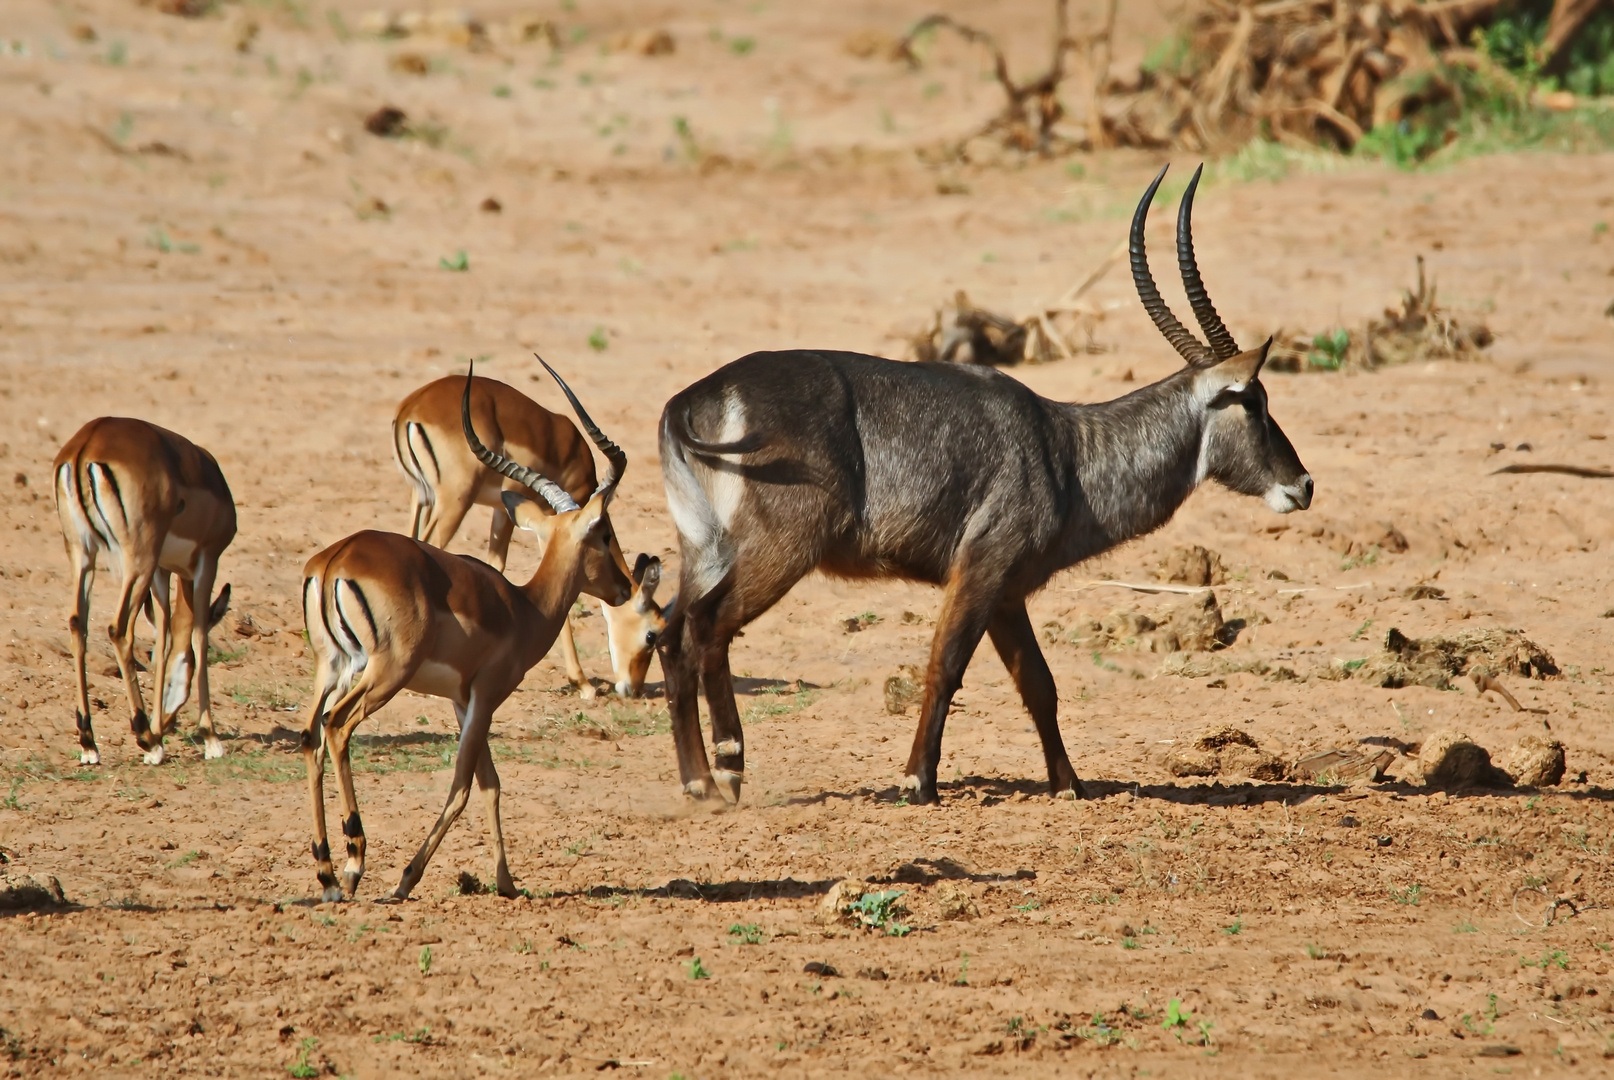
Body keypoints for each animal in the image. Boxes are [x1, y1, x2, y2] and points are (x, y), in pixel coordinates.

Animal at [52, 416, 235, 761]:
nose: (170, 723)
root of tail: (89, 439)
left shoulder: (163, 571)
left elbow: (163, 639)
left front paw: (160, 734)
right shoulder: (207, 562)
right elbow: (199, 637)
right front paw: (210, 738)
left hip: (82, 554)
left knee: (77, 624)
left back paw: (90, 743)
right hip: (138, 558)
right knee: (118, 628)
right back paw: (144, 736)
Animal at [300, 360, 632, 904]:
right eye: (605, 534)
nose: (625, 586)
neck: (524, 609)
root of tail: (337, 560)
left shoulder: (462, 699)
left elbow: (489, 782)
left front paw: (507, 883)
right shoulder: (487, 696)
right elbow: (462, 786)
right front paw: (407, 879)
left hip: (332, 668)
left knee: (310, 736)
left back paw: (327, 873)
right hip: (385, 674)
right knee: (337, 727)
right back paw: (353, 864)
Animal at [392, 377, 668, 700]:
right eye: (652, 634)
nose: (634, 689)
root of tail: (411, 407)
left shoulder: (507, 512)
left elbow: (496, 565)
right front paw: (583, 684)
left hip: (421, 497)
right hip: (454, 501)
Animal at [655, 164, 1310, 803]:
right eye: (1253, 400)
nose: (1302, 485)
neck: (1065, 450)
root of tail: (695, 398)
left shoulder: (1007, 592)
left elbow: (1039, 683)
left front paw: (1069, 785)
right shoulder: (981, 567)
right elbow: (945, 666)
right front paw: (918, 781)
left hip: (704, 552)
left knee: (669, 633)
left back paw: (699, 781)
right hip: (780, 551)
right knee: (707, 627)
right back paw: (726, 771)